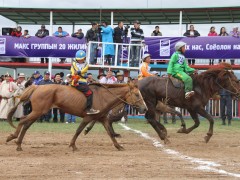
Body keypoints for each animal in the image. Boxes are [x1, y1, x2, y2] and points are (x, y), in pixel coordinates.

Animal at [6, 82, 148, 150]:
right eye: (137, 94)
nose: (145, 108)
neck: (103, 96)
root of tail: (37, 87)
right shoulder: (88, 117)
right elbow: (79, 130)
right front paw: (73, 145)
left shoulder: (102, 118)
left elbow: (110, 133)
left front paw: (119, 146)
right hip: (37, 112)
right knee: (22, 120)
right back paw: (12, 137)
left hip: (38, 112)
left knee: (26, 125)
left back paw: (18, 144)